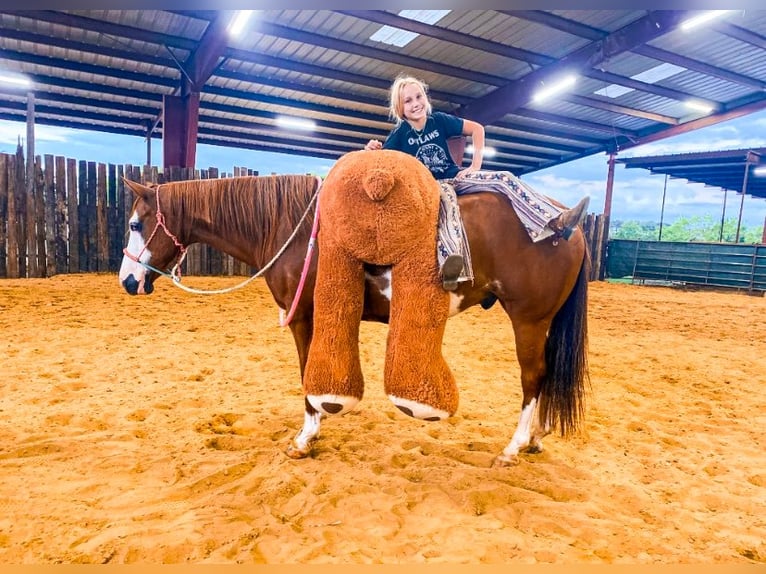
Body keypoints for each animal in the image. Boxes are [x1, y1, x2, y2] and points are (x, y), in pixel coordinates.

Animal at [120, 174, 592, 468]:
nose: (127, 280)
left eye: (136, 223)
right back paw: (535, 438)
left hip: (529, 318)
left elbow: (307, 371)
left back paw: (513, 447)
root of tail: (569, 224)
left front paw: (305, 438)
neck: (294, 229)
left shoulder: (304, 316)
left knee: (533, 377)